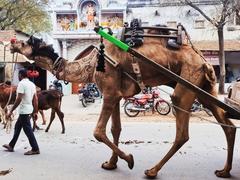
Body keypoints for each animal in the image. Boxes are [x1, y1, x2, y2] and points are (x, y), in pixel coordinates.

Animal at [9, 34, 236, 179]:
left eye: (26, 41)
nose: (11, 44)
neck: (91, 65)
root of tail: (205, 61)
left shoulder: (109, 92)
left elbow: (99, 131)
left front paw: (129, 160)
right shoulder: (117, 96)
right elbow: (115, 128)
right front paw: (111, 164)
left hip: (187, 83)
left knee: (183, 132)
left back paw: (152, 171)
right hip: (204, 88)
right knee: (228, 124)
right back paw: (224, 171)